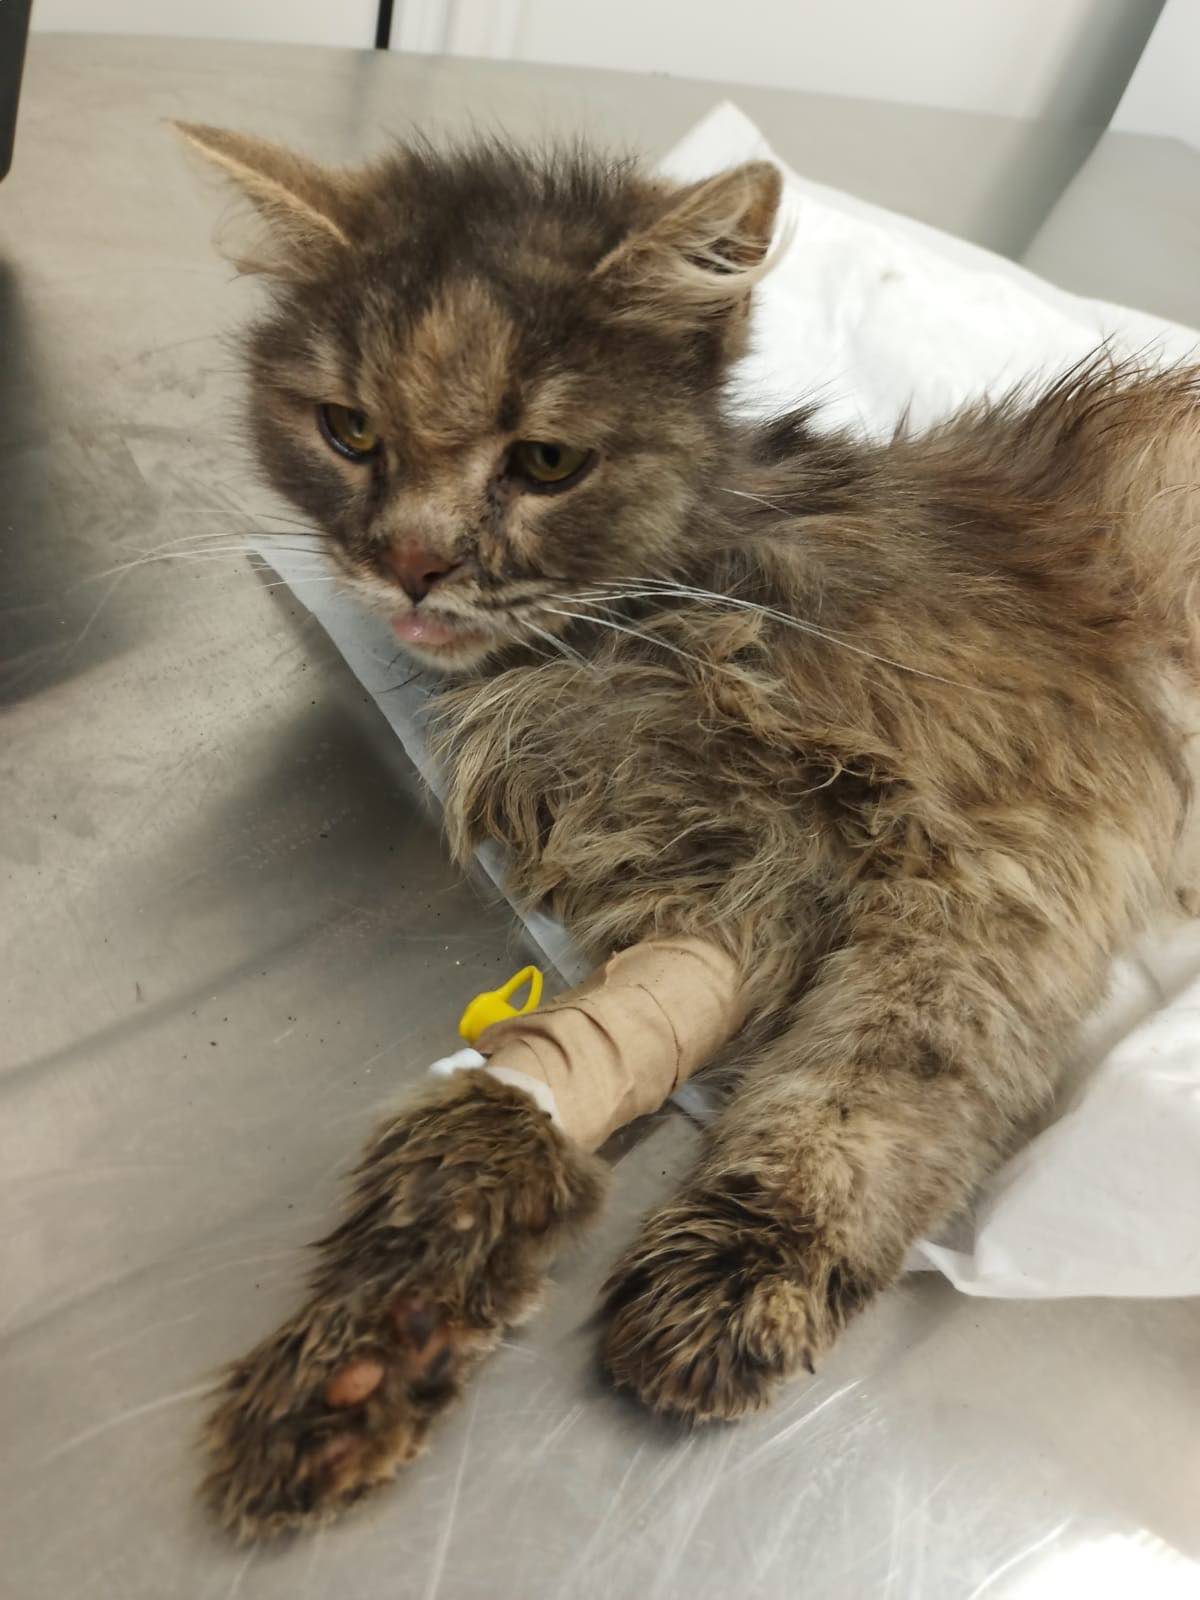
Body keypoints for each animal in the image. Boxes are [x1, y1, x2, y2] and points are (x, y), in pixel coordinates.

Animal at [177, 122, 1200, 1540]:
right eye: (350, 430)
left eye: (546, 462)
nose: (413, 566)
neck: (667, 610)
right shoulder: (733, 892)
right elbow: (530, 1084)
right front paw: (375, 1330)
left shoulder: (1016, 841)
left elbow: (879, 1080)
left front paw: (753, 1258)